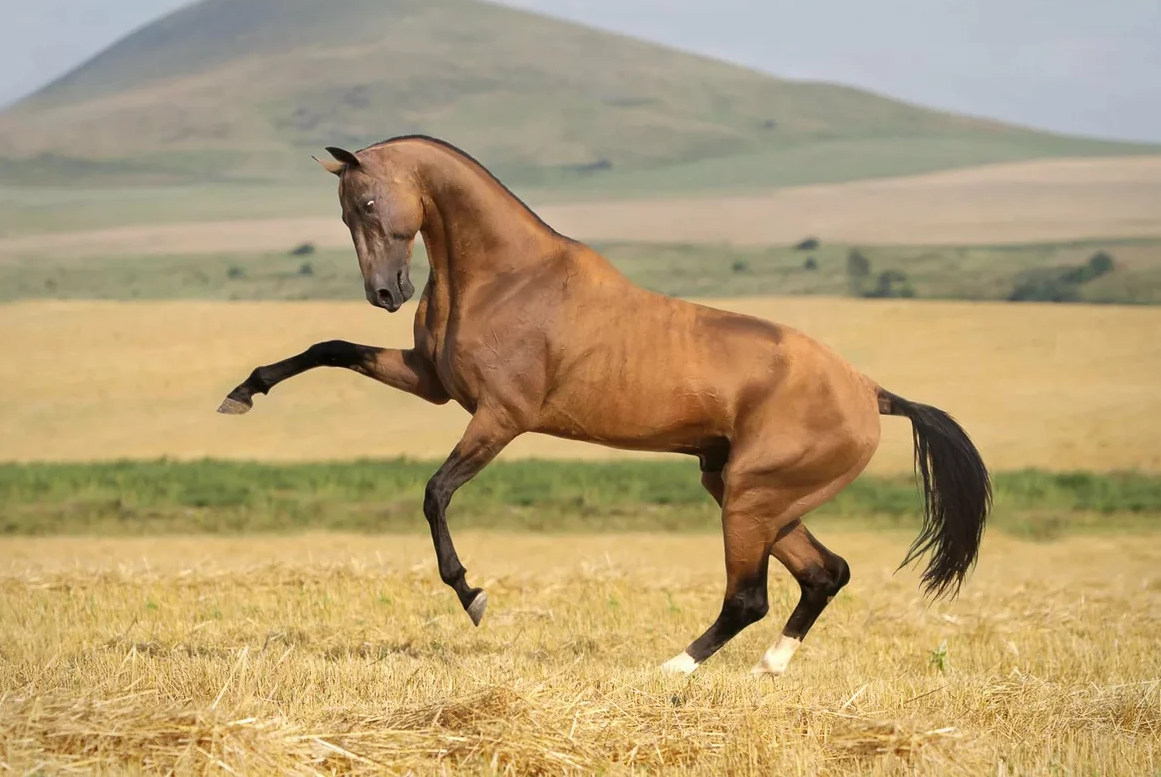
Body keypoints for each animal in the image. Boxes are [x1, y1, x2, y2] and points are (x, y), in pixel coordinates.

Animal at [221, 136, 993, 673]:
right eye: (344, 211)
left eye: (369, 203)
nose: (386, 292)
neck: (507, 277)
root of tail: (871, 392)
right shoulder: (430, 381)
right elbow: (329, 347)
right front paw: (242, 393)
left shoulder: (499, 417)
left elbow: (435, 493)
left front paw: (472, 596)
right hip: (748, 493)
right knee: (824, 573)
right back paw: (767, 670)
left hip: (751, 498)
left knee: (751, 595)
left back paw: (671, 669)